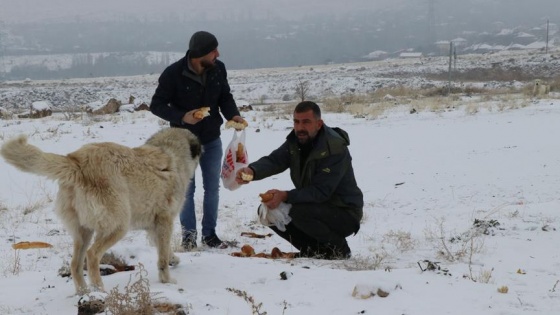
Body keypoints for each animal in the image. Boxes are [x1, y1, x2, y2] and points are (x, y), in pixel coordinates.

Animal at [0, 127, 201, 296]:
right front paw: (167, 280)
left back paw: (84, 292)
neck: (172, 155)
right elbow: (162, 257)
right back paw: (100, 290)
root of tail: (76, 161)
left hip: (84, 232)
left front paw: (174, 260)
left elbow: (165, 251)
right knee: (92, 255)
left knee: (75, 264)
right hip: (118, 226)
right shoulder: (165, 221)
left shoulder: (153, 227)